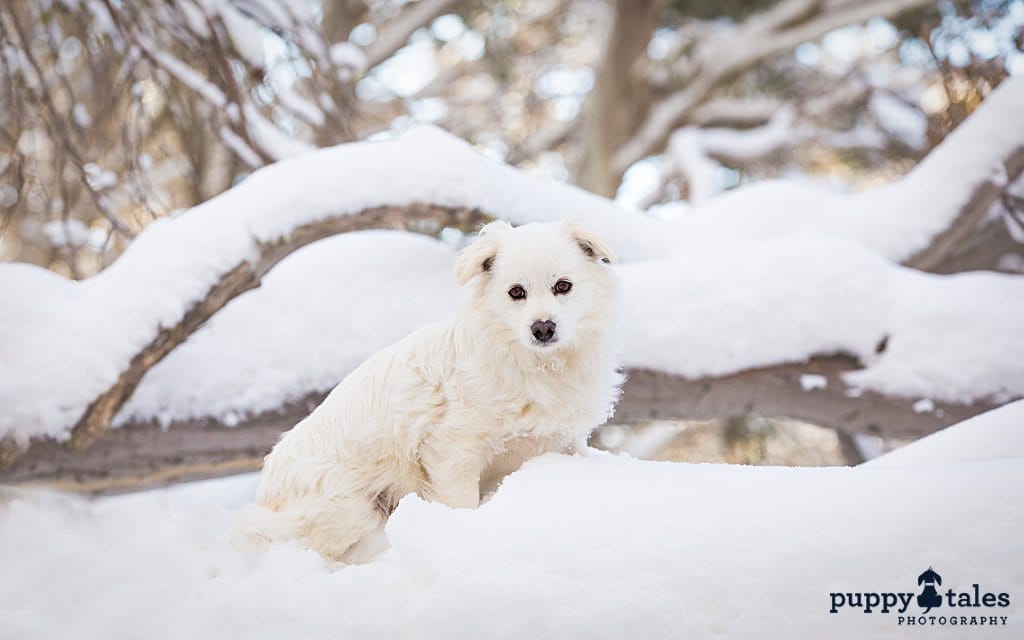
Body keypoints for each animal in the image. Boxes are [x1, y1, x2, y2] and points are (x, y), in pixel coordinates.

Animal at [235, 219, 618, 557]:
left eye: (563, 286)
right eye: (516, 293)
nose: (543, 328)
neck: (541, 366)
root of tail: (265, 490)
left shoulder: (563, 442)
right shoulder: (452, 451)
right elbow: (462, 503)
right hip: (350, 510)